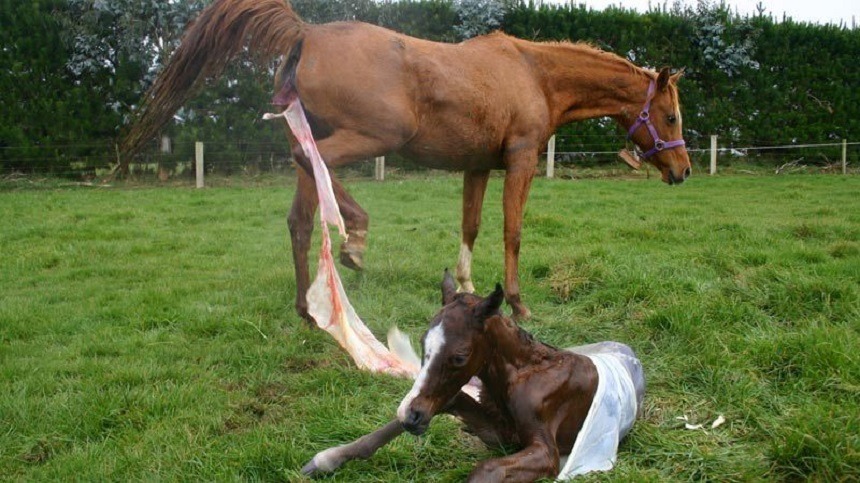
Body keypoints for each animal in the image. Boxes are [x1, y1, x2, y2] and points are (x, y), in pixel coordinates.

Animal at [124, 1, 692, 324]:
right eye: (669, 115)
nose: (683, 170)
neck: (532, 73)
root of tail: (307, 32)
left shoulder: (478, 166)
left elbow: (470, 224)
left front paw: (466, 286)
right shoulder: (521, 161)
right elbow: (512, 231)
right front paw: (517, 301)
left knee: (301, 203)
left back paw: (324, 283)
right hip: (372, 136)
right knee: (308, 171)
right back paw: (345, 251)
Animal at [302, 274, 644, 482]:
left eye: (459, 357)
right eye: (423, 342)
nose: (413, 417)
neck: (522, 374)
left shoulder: (546, 452)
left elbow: (486, 470)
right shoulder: (498, 433)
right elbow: (444, 402)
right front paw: (325, 460)